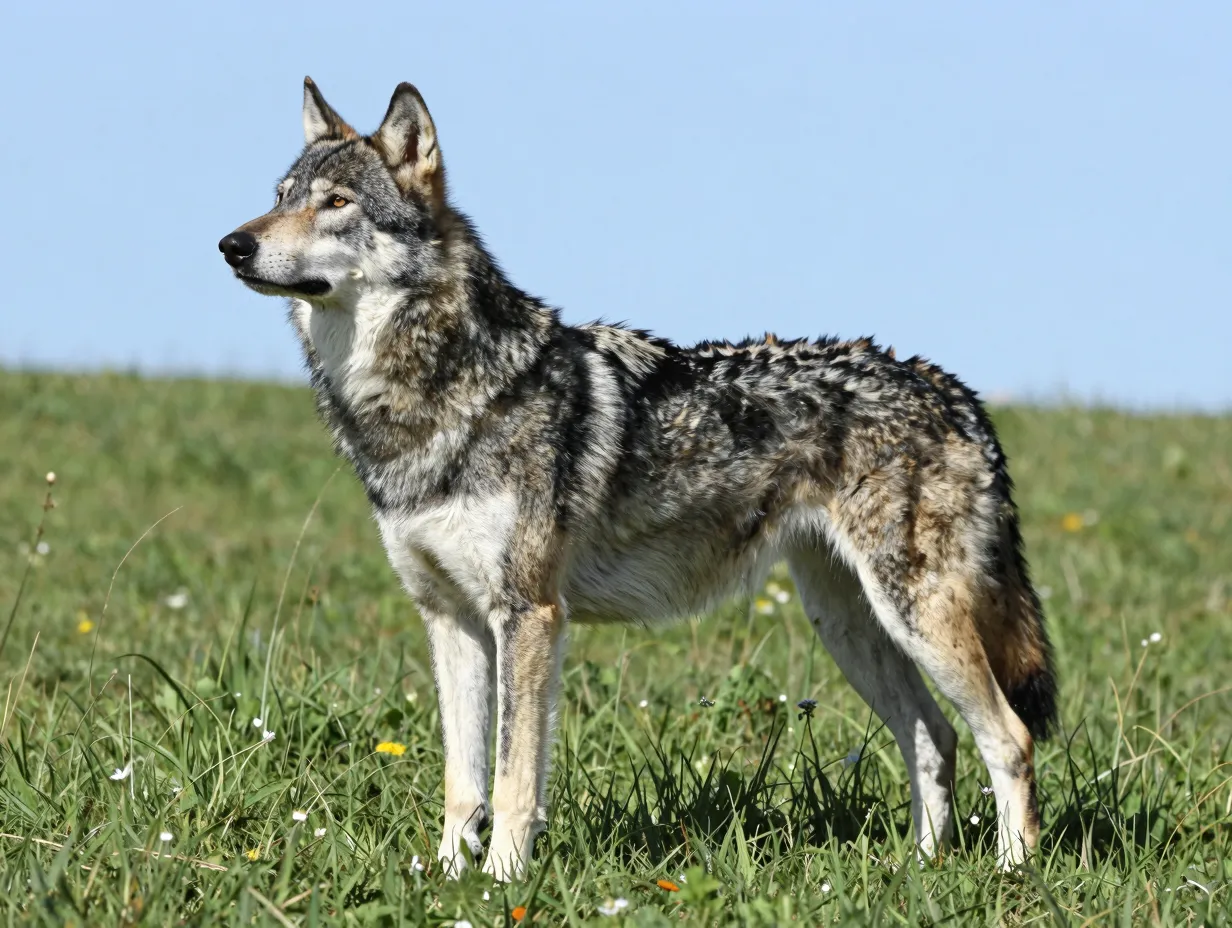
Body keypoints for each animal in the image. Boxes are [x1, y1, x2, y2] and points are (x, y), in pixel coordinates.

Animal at [219, 78, 1057, 881]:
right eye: (281, 194)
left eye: (336, 203)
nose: (232, 244)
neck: (435, 400)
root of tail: (952, 388)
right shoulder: (449, 619)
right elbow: (464, 781)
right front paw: (447, 879)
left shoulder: (528, 616)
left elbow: (515, 778)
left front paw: (500, 882)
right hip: (851, 625)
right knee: (935, 737)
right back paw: (918, 871)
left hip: (916, 617)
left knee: (1010, 737)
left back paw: (1007, 876)